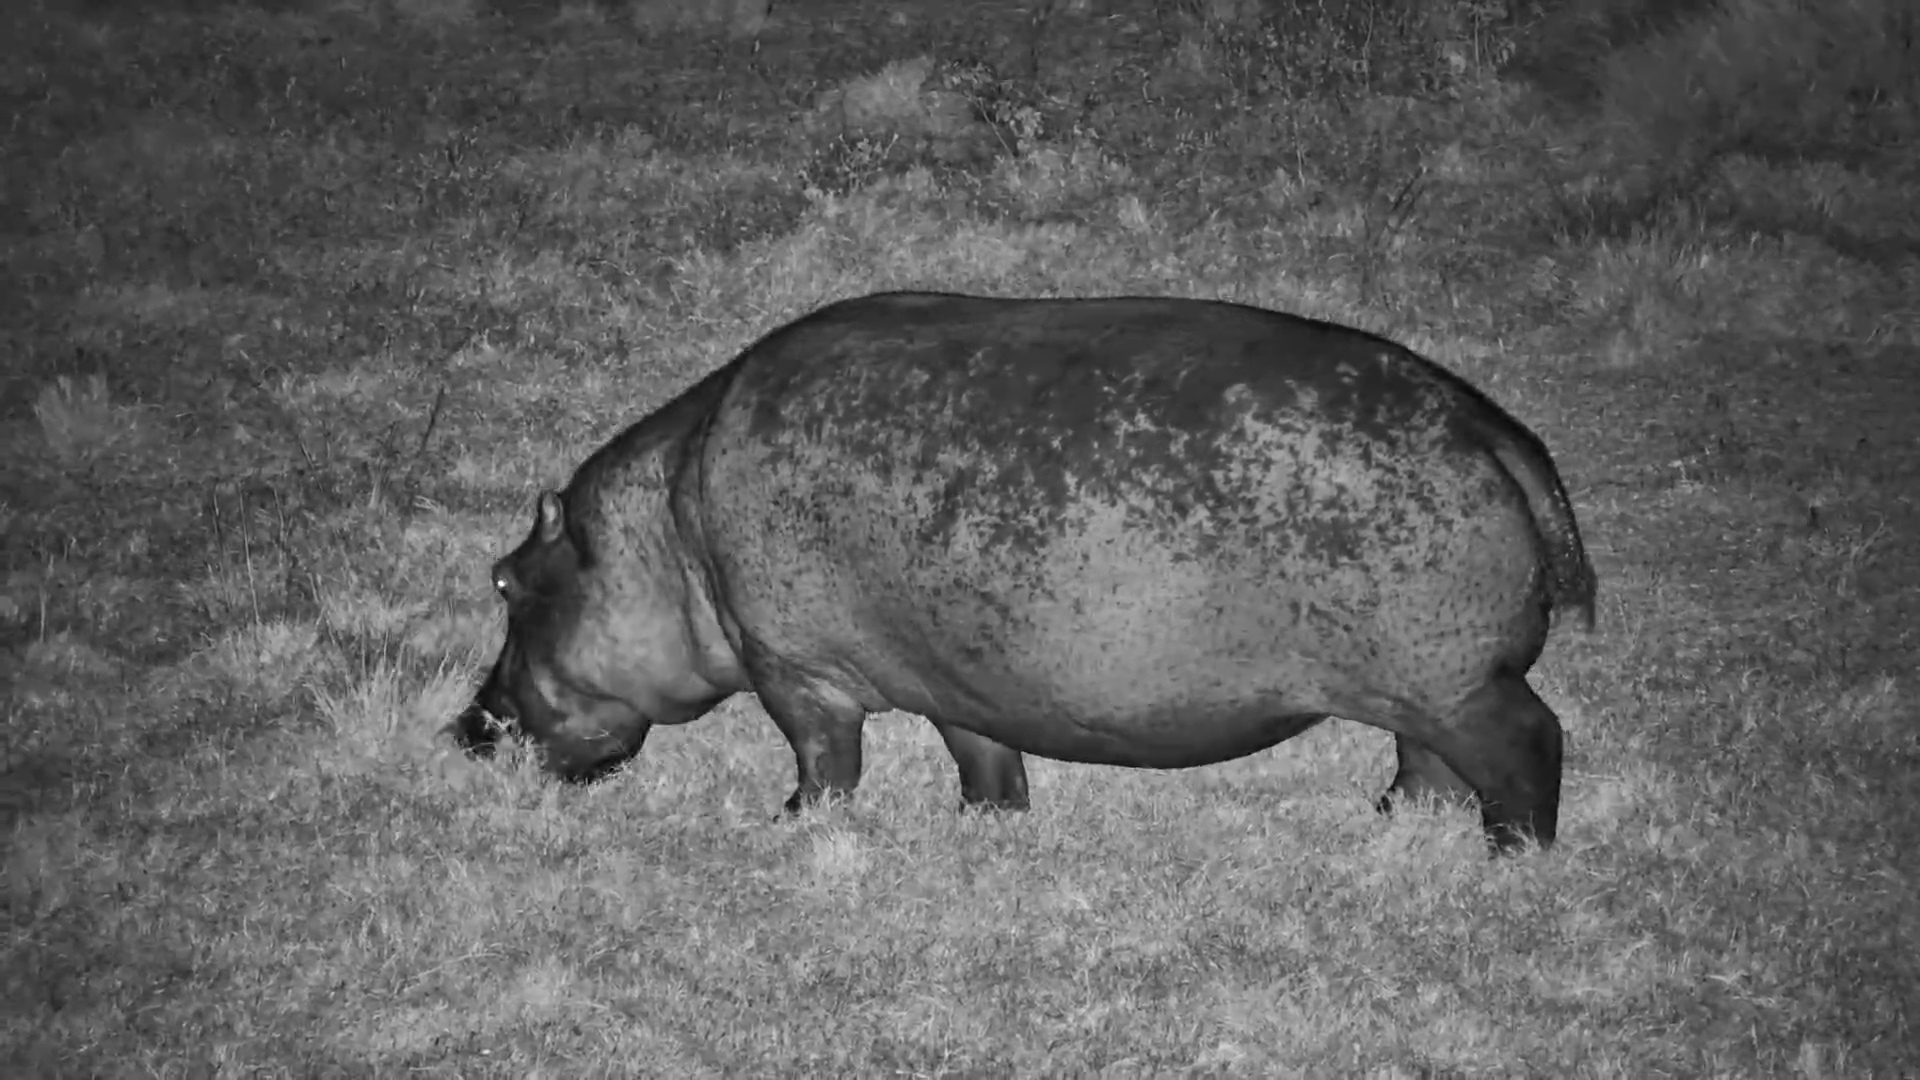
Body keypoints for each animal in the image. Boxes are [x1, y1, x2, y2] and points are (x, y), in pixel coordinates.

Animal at [455, 292, 1596, 852]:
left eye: (503, 582)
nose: (464, 729)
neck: (664, 534)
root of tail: (1498, 433)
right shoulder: (951, 677)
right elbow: (981, 754)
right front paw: (987, 823)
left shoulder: (793, 672)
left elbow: (827, 765)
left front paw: (788, 826)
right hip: (1421, 687)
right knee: (1427, 762)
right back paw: (1394, 822)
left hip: (1462, 682)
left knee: (1530, 745)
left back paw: (1514, 856)